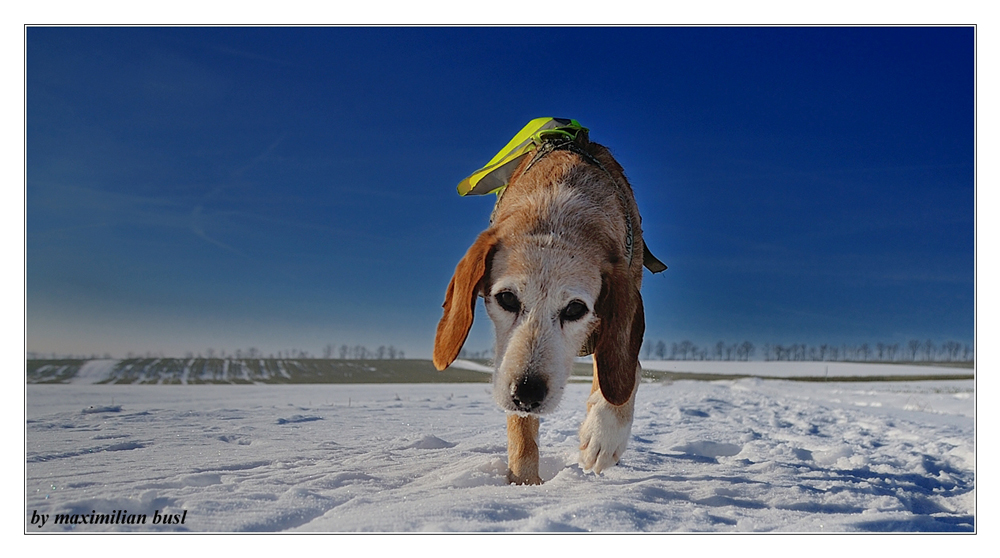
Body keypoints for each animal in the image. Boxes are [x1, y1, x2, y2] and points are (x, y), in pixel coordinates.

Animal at [432, 123, 660, 486]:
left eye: (575, 309)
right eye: (507, 298)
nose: (527, 393)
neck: (556, 210)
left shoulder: (619, 314)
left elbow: (625, 370)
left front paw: (603, 434)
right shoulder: (509, 362)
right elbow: (521, 432)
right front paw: (525, 485)